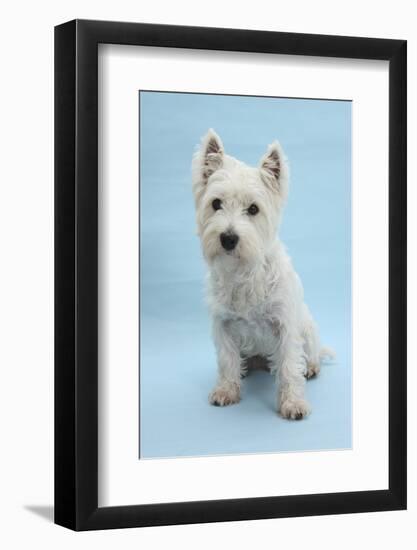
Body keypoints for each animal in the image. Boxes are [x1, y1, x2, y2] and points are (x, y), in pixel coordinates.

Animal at [190, 130, 330, 422]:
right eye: (216, 203)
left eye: (253, 209)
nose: (228, 238)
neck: (243, 271)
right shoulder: (223, 325)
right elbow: (227, 360)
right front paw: (226, 390)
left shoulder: (285, 326)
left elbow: (288, 366)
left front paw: (293, 403)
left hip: (307, 328)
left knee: (310, 354)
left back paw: (310, 367)